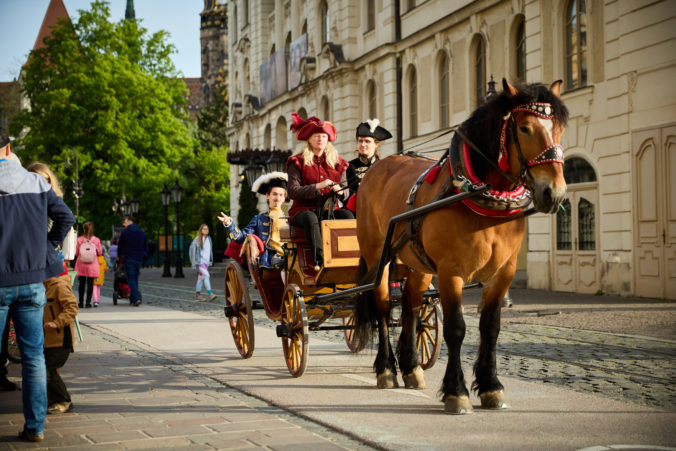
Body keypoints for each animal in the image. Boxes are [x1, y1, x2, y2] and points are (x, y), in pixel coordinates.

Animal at [354, 82, 572, 416]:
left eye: (559, 128)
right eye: (524, 128)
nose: (554, 192)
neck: (479, 196)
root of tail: (379, 166)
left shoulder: (503, 273)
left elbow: (490, 327)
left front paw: (492, 387)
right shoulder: (450, 272)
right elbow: (456, 328)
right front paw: (456, 392)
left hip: (417, 264)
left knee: (411, 309)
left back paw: (412, 369)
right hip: (379, 257)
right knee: (382, 308)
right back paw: (387, 370)